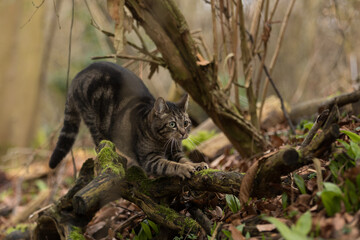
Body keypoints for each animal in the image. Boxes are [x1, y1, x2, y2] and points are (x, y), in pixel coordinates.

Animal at [50, 61, 208, 178]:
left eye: (186, 123)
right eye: (172, 124)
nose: (183, 133)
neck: (163, 142)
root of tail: (80, 74)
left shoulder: (175, 152)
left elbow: (184, 159)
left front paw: (196, 164)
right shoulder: (150, 159)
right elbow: (170, 165)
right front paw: (184, 169)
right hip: (94, 122)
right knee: (99, 146)